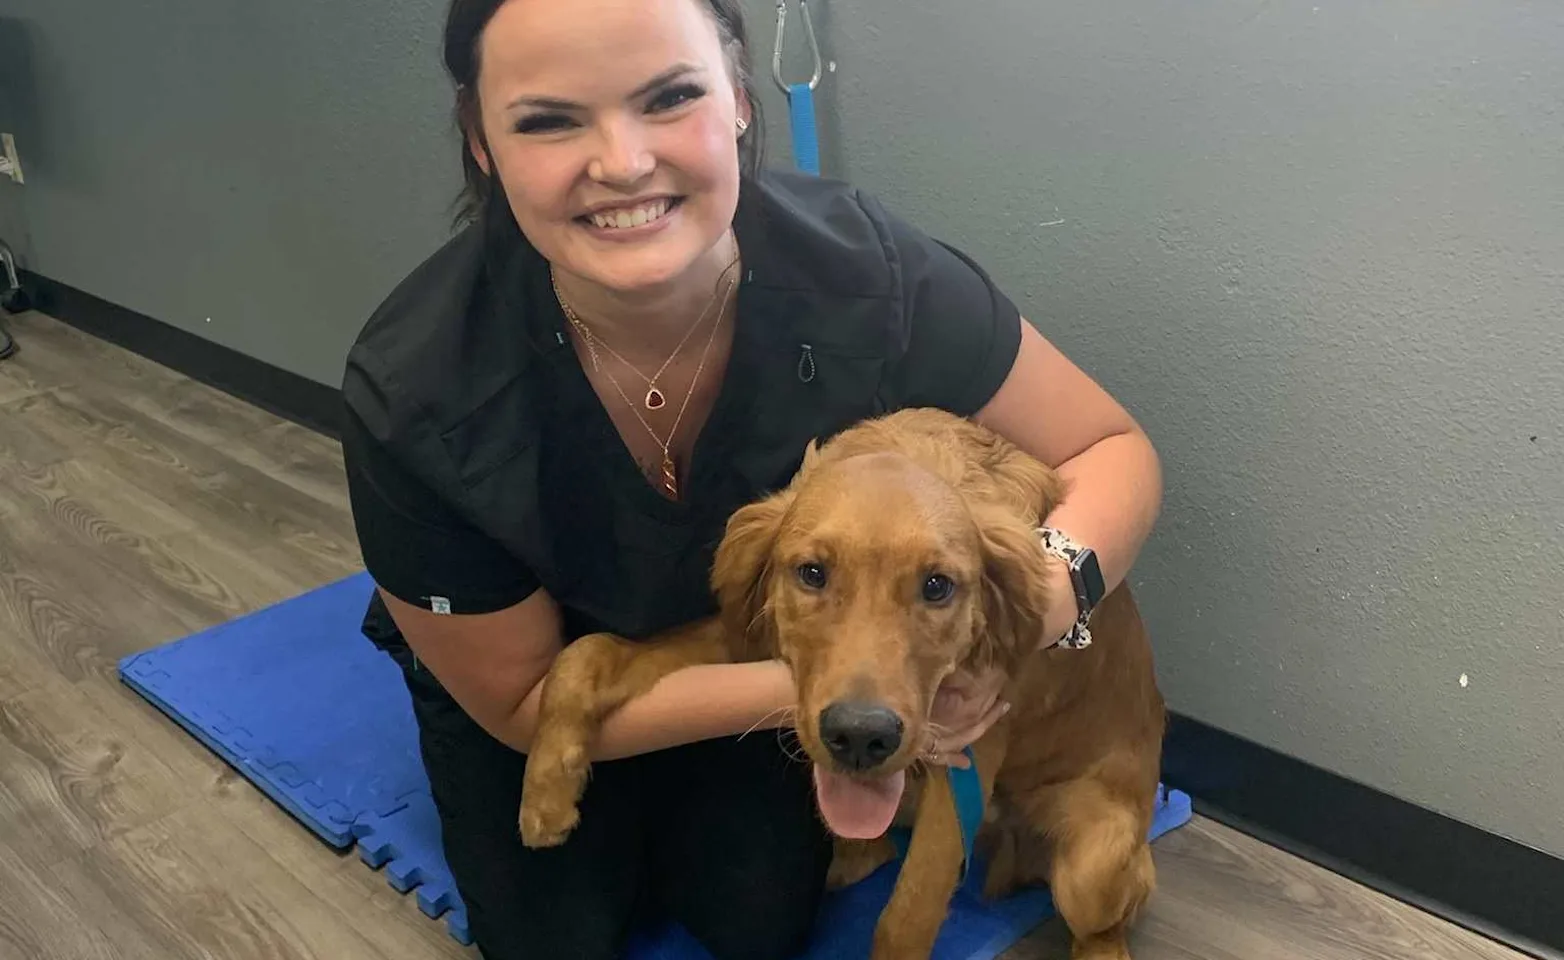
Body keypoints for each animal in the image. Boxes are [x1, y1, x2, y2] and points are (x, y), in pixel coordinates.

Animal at [519, 409, 1169, 960]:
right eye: (812, 573)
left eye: (937, 586)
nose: (860, 738)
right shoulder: (750, 636)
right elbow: (587, 651)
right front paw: (547, 788)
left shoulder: (970, 748)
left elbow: (905, 919)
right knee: (873, 845)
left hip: (1093, 865)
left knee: (1104, 921)